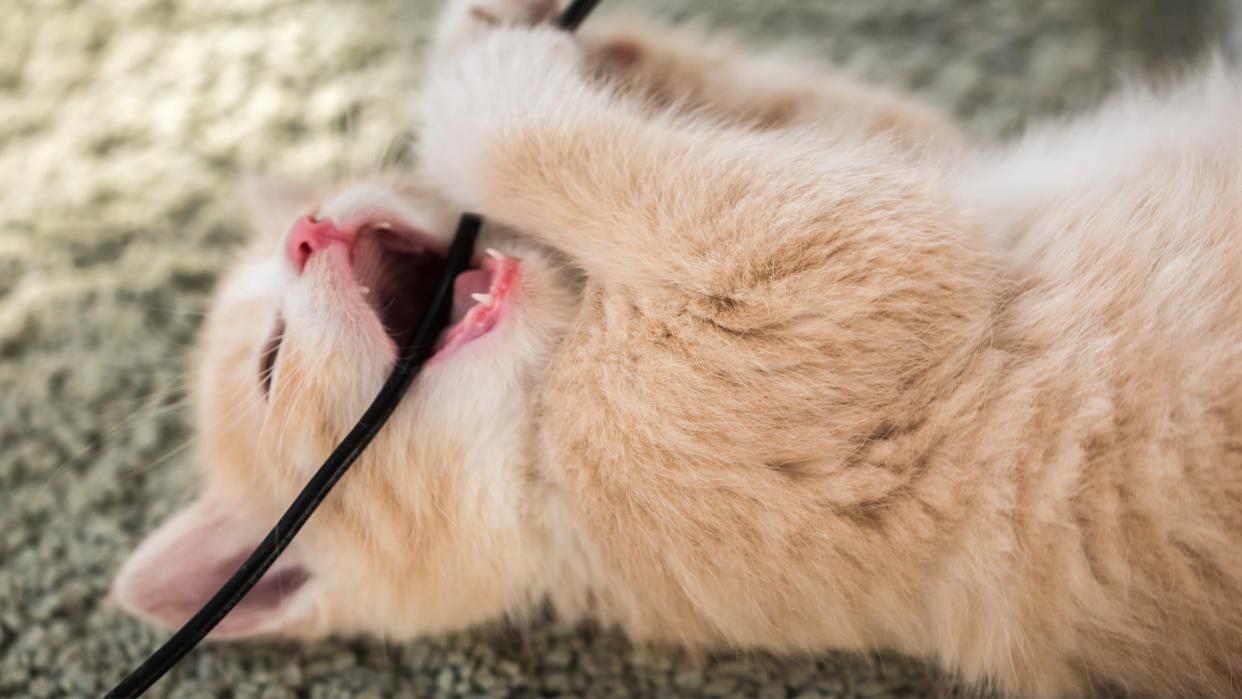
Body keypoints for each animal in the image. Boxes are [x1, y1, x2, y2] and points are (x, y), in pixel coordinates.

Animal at [111, 2, 1242, 695]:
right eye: (270, 364)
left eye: (317, 213)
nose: (308, 230)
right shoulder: (830, 276)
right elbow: (541, 139)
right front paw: (477, 75)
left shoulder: (912, 157)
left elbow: (855, 118)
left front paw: (553, 35)